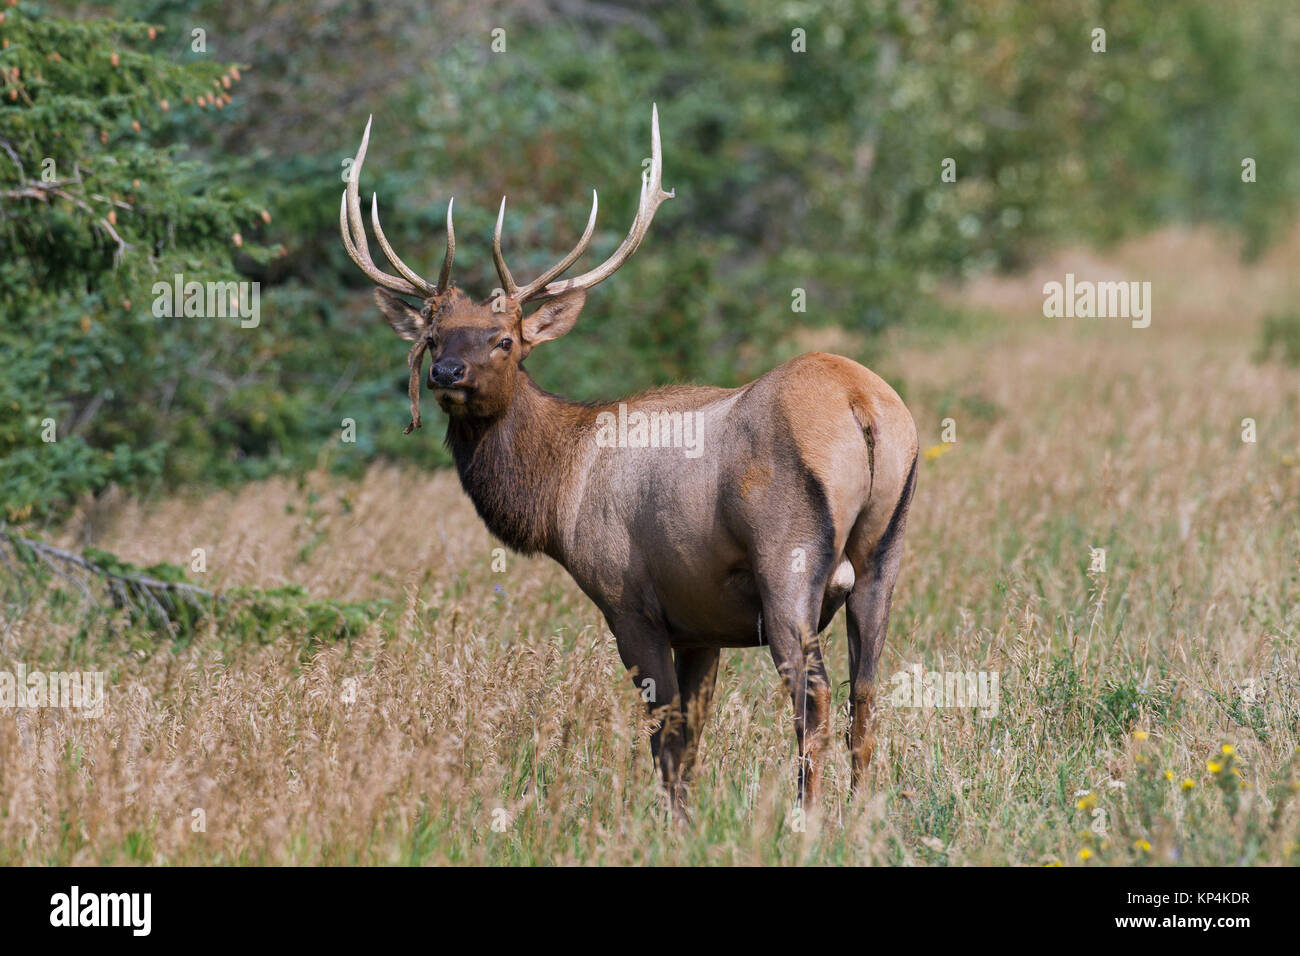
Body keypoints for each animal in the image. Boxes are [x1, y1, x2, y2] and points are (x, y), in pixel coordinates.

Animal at [340, 104, 920, 811]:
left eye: (505, 340)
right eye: (431, 336)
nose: (446, 373)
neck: (561, 488)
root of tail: (862, 403)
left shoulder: (627, 599)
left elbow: (664, 736)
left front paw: (670, 821)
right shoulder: (699, 623)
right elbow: (693, 738)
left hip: (787, 561)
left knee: (814, 697)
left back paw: (804, 818)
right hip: (885, 555)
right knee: (867, 692)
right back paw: (863, 811)